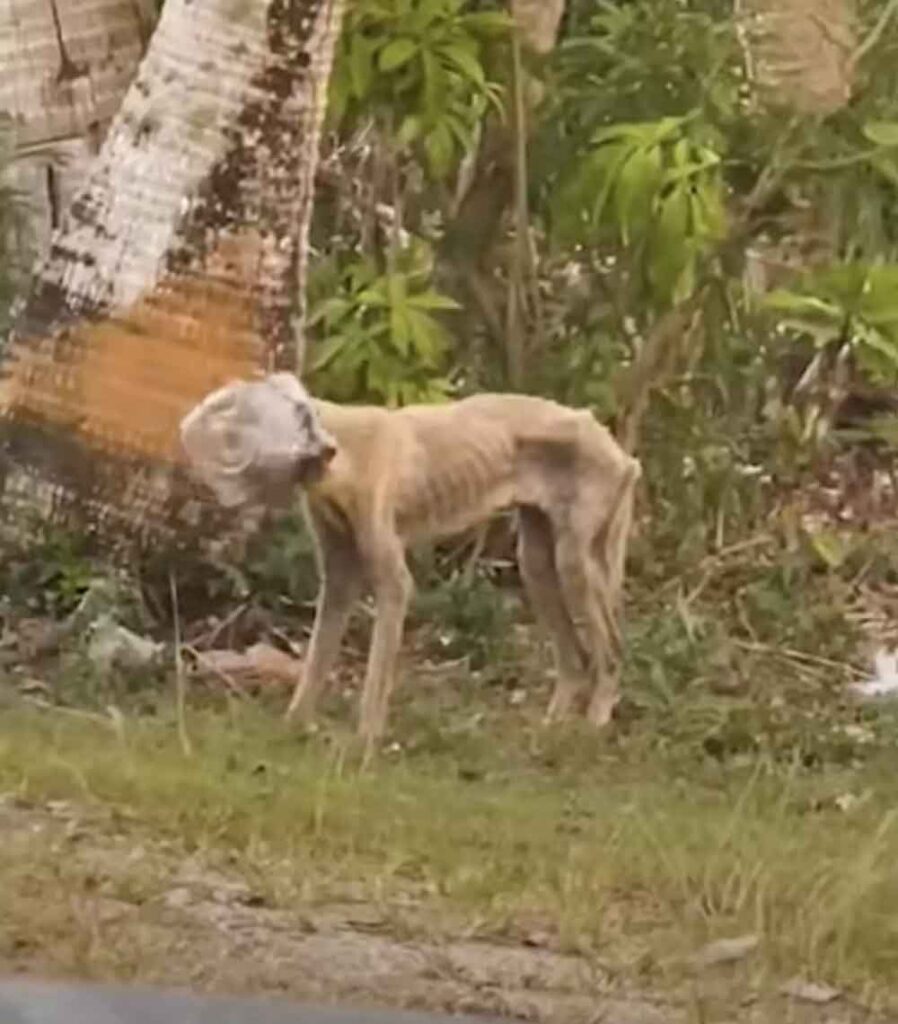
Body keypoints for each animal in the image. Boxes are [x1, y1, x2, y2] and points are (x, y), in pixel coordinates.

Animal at [180, 376, 638, 753]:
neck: (346, 444)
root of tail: (620, 452)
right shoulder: (339, 574)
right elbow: (318, 656)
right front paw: (293, 725)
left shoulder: (393, 579)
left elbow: (378, 666)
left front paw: (364, 742)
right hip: (537, 561)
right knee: (575, 658)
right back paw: (551, 730)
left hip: (577, 559)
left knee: (611, 652)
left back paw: (592, 726)